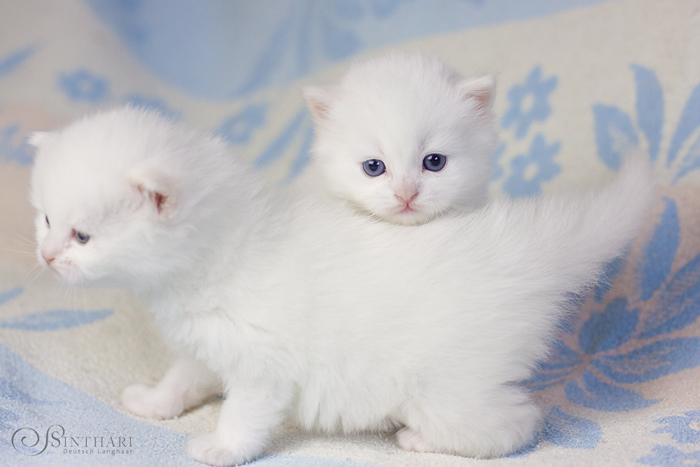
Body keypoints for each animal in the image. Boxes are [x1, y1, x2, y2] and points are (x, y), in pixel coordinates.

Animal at [31, 108, 656, 466]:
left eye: (82, 236)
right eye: (45, 219)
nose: (46, 256)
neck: (218, 250)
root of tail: (523, 249)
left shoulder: (262, 364)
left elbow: (242, 415)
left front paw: (220, 448)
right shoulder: (207, 346)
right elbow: (181, 380)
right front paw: (154, 404)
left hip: (451, 386)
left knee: (517, 426)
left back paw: (424, 441)